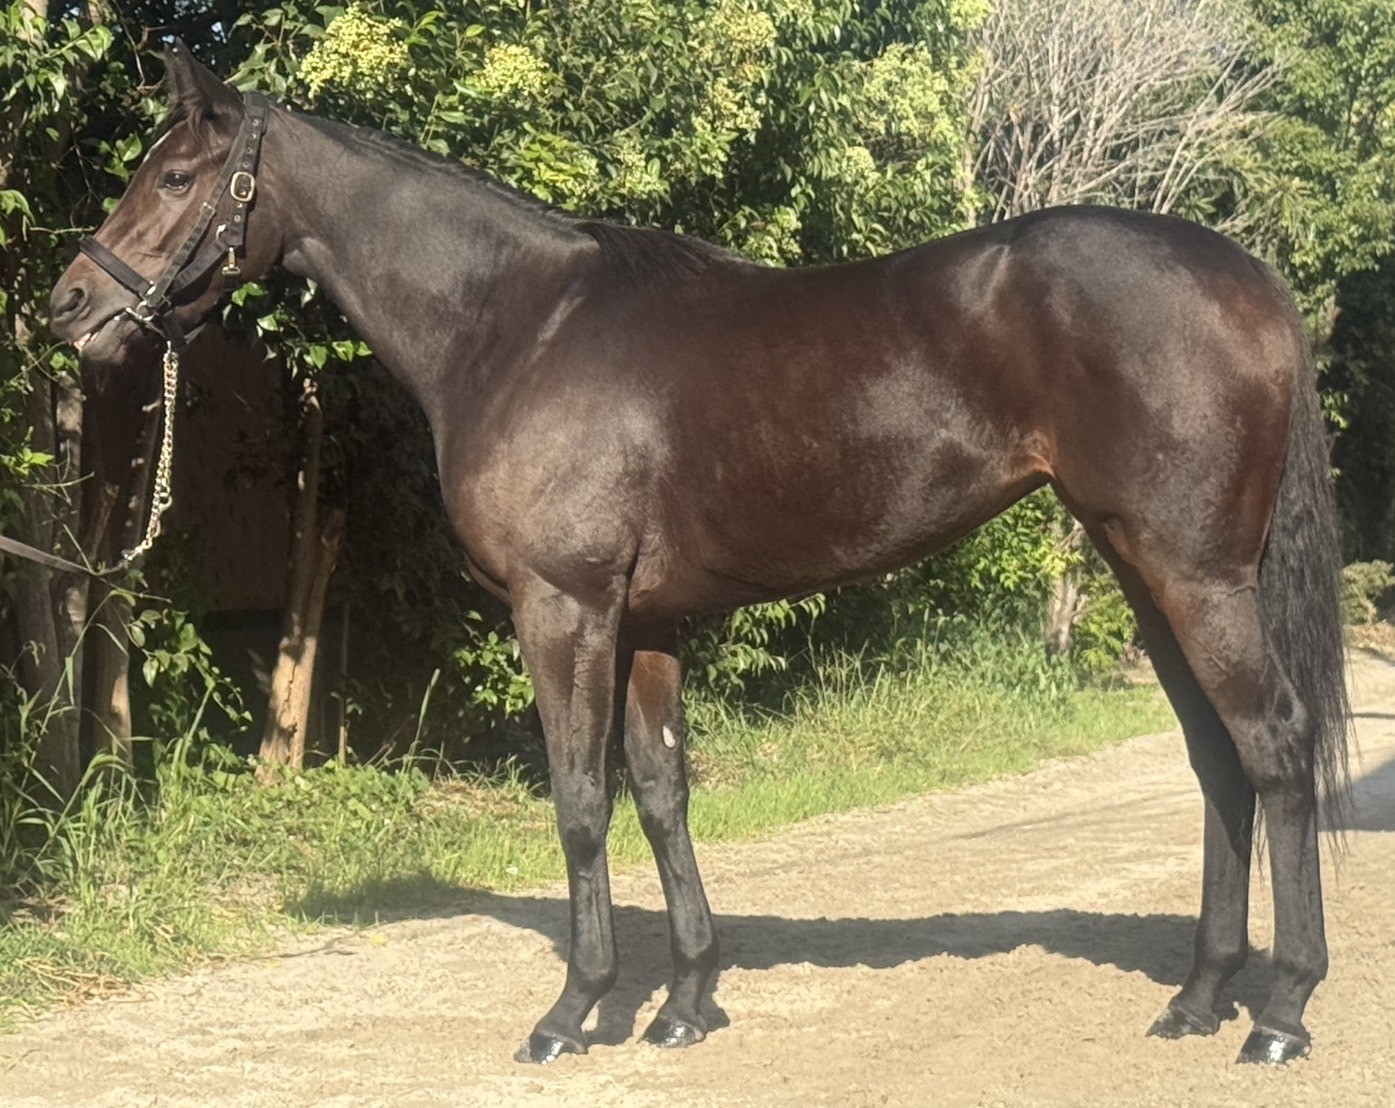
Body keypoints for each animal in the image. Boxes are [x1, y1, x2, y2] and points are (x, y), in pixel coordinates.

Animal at [50, 45, 1350, 1067]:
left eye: (174, 176)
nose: (66, 306)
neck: (518, 326)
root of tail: (1247, 274)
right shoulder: (646, 620)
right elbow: (662, 789)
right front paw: (684, 999)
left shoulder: (562, 607)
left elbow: (581, 799)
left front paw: (573, 1009)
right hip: (1144, 569)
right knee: (1218, 758)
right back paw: (1199, 996)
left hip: (1195, 576)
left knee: (1275, 745)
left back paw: (1281, 1011)